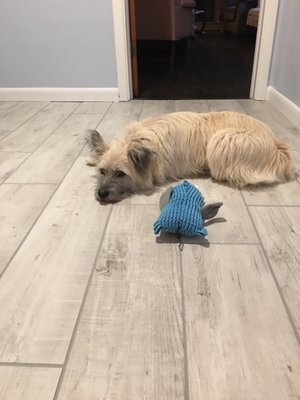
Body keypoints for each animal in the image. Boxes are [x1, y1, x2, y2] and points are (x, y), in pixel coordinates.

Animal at [86, 110, 296, 203]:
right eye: (102, 171)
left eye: (120, 174)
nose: (101, 194)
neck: (139, 139)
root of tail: (277, 145)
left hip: (222, 140)